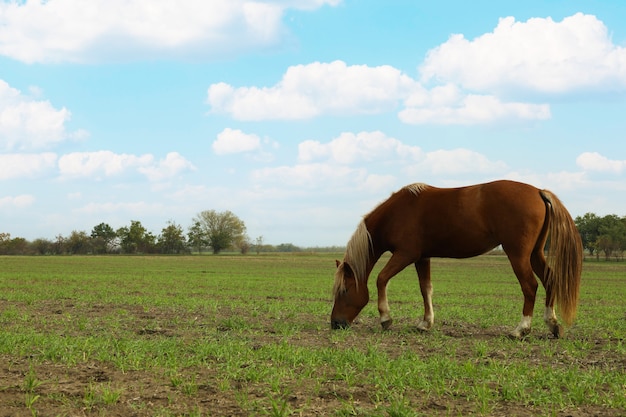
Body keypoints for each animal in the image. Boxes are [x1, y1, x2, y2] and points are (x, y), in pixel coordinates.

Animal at [330, 179, 584, 338]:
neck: (398, 212)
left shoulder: (405, 255)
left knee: (530, 286)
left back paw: (520, 329)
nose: (335, 323)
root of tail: (538, 191)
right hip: (534, 254)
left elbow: (381, 279)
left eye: (344, 291)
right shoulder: (422, 258)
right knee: (550, 280)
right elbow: (426, 289)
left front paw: (385, 319)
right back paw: (552, 324)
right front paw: (425, 323)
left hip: (518, 255)